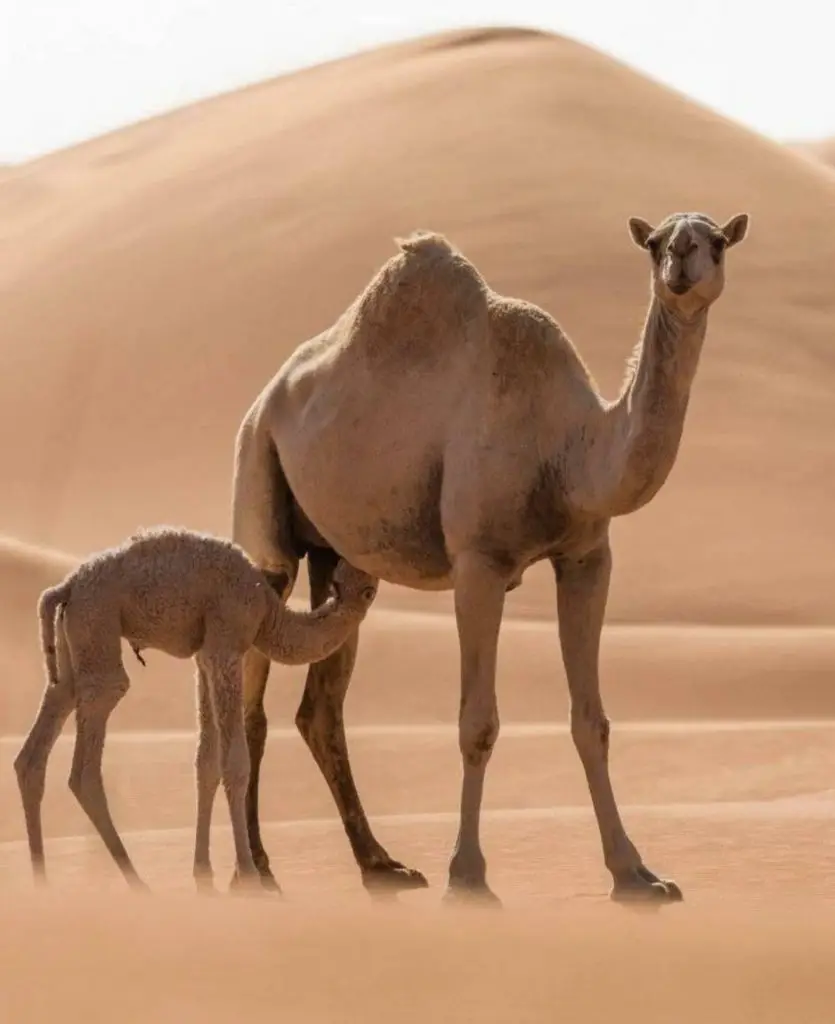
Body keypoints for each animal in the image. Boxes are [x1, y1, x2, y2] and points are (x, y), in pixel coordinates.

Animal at [13, 525, 378, 893]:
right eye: (368, 586)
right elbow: (235, 763)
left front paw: (203, 872)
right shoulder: (225, 645)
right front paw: (248, 876)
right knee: (87, 758)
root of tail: (66, 586)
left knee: (47, 725)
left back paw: (42, 882)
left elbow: (206, 762)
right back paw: (136, 882)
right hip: (97, 622)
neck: (267, 609)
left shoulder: (204, 657)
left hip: (76, 635)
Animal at [231, 210, 750, 904]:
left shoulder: (588, 556)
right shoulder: (478, 564)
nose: (682, 263)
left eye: (715, 241)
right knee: (250, 698)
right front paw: (468, 874)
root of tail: (265, 399)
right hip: (261, 487)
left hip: (343, 558)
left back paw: (381, 865)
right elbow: (476, 723)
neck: (568, 453)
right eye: (655, 243)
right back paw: (258, 870)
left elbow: (592, 720)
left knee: (321, 708)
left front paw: (635, 873)